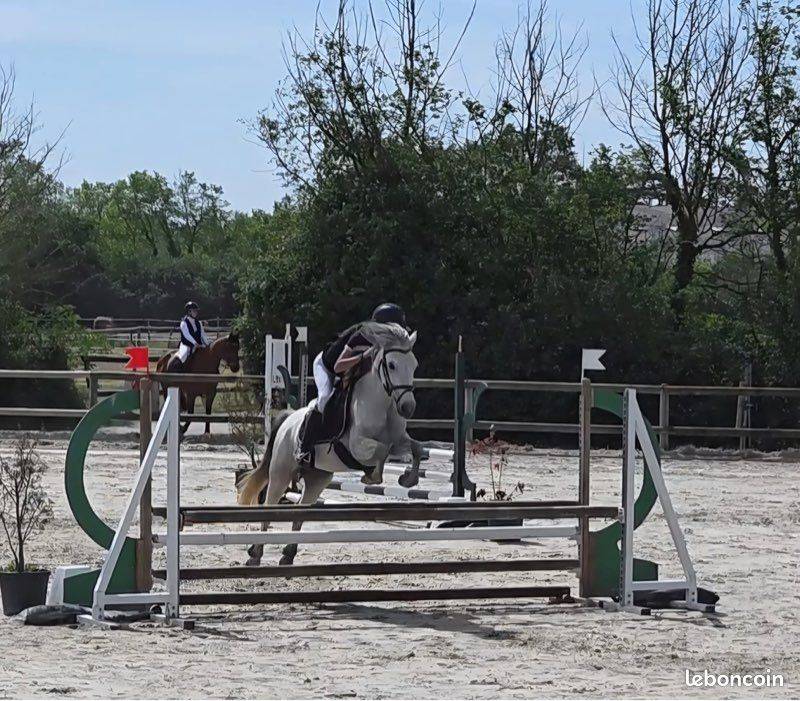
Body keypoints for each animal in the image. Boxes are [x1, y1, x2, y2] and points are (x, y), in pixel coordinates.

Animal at [236, 323, 424, 566]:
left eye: (414, 365)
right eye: (391, 365)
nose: (408, 408)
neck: (383, 403)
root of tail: (287, 419)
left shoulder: (400, 440)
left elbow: (415, 448)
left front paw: (408, 479)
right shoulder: (356, 446)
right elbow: (383, 450)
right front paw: (372, 476)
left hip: (317, 479)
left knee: (299, 510)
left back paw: (288, 554)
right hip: (280, 473)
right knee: (270, 505)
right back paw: (255, 553)